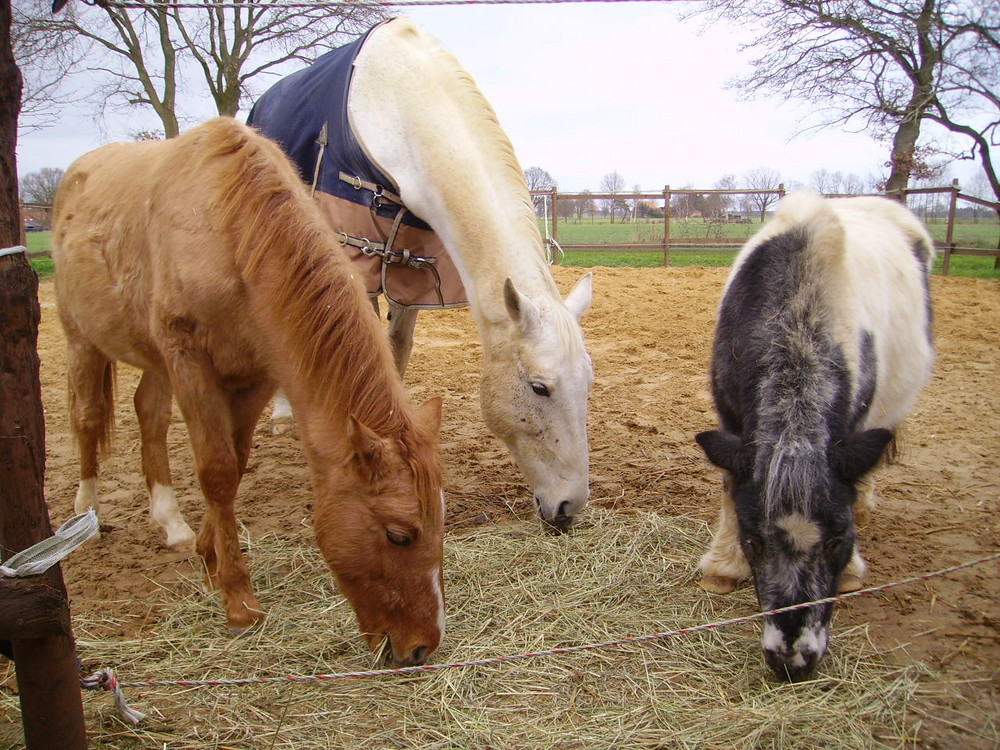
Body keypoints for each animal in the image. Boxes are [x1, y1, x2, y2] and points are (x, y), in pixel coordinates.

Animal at [53, 114, 446, 668]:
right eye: (398, 534)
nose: (421, 647)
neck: (230, 231)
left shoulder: (257, 375)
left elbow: (236, 466)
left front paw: (208, 554)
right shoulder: (190, 361)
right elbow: (217, 472)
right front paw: (238, 600)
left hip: (154, 362)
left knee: (148, 415)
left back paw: (171, 523)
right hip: (83, 340)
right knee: (87, 415)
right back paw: (85, 513)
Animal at [252, 19, 592, 536]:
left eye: (588, 382)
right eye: (539, 387)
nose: (570, 507)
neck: (398, 110)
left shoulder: (408, 272)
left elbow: (397, 352)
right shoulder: (356, 263)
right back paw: (285, 415)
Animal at [696, 191, 936, 684]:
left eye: (837, 540)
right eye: (754, 541)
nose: (792, 660)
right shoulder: (732, 425)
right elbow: (731, 491)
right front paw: (723, 568)